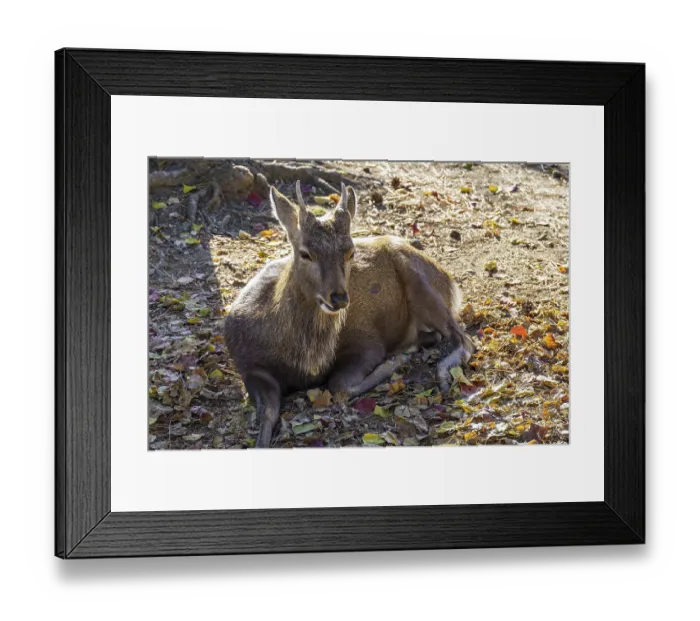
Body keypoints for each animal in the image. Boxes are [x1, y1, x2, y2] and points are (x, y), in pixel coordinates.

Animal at [224, 181, 475, 448]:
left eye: (350, 252)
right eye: (305, 253)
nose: (339, 297)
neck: (303, 360)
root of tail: (449, 281)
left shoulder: (367, 341)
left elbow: (339, 385)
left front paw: (395, 363)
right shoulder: (248, 366)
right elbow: (267, 414)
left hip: (420, 281)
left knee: (464, 339)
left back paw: (438, 371)